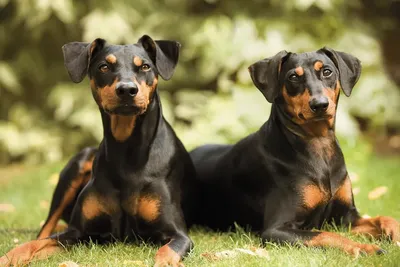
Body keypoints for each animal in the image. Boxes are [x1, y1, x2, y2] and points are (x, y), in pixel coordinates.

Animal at [0, 35, 198, 267]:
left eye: (145, 66)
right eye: (104, 66)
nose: (127, 90)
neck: (125, 149)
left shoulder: (178, 234)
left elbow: (166, 253)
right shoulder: (78, 233)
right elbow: (32, 244)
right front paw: (9, 257)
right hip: (76, 167)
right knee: (45, 229)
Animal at [191, 48, 400, 258]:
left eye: (327, 71)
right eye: (293, 77)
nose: (320, 104)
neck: (318, 143)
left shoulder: (346, 216)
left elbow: (385, 218)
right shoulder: (276, 230)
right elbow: (325, 234)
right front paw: (364, 247)